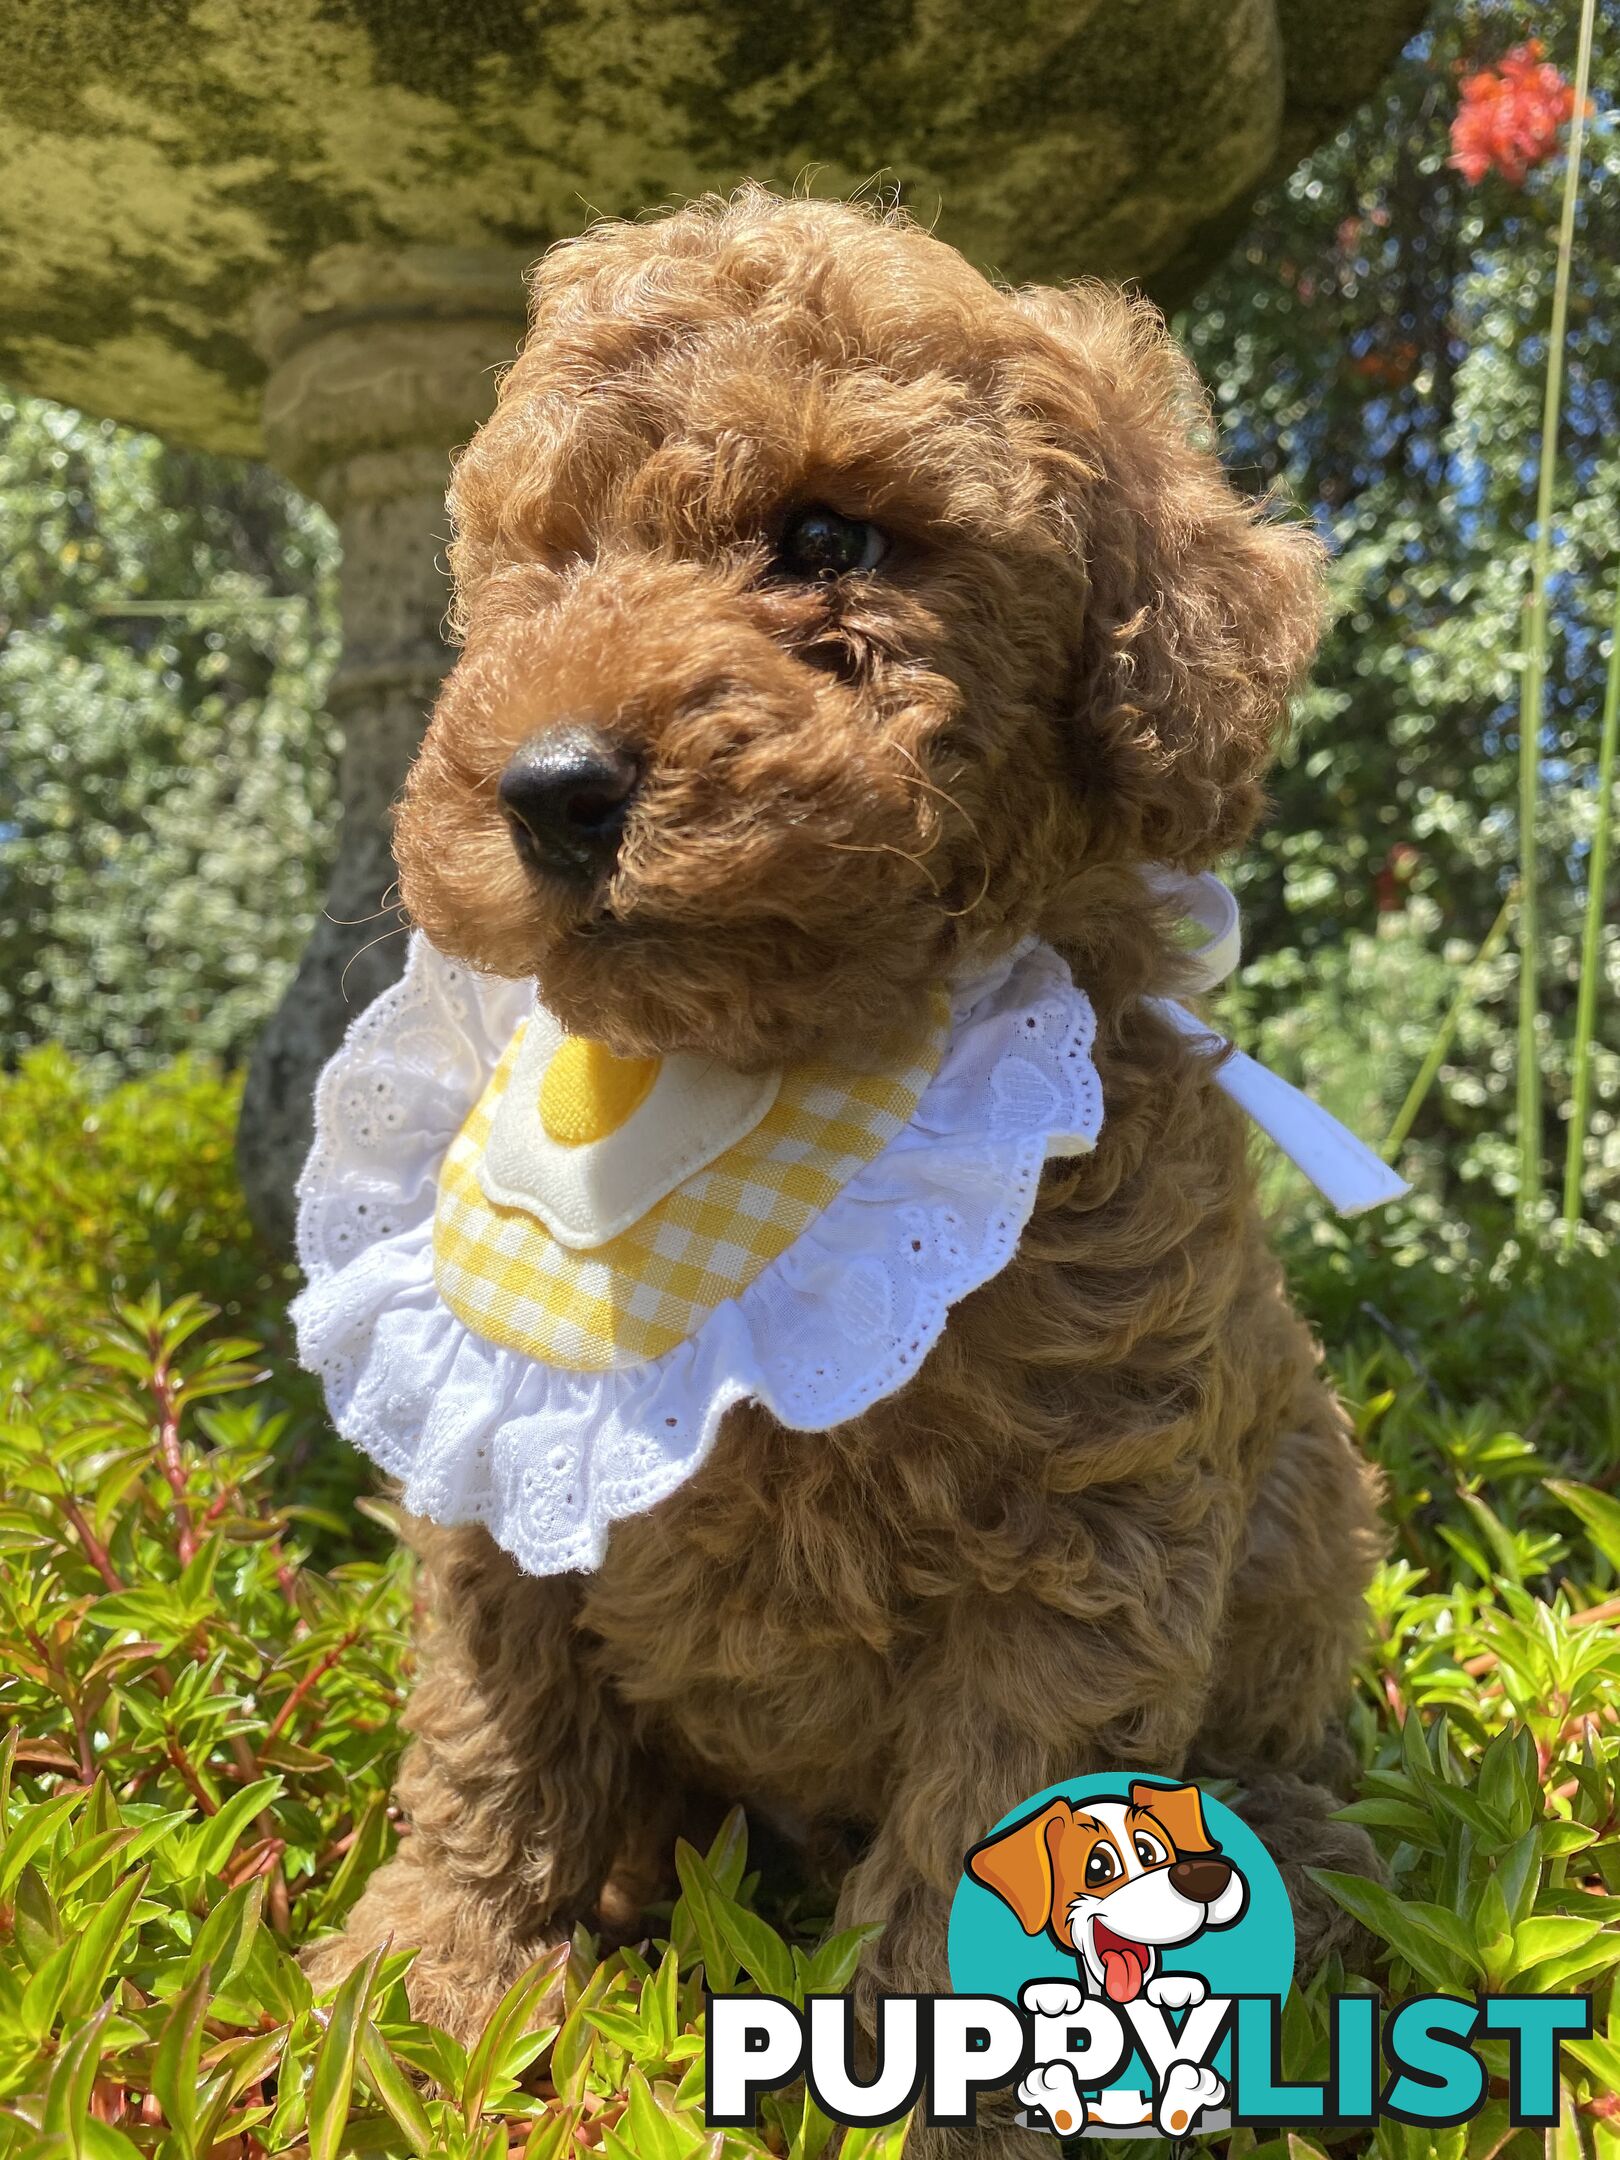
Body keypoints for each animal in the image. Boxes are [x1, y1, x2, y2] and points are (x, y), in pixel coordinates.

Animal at [311, 194, 1391, 2151]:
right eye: (546, 568)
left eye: (828, 538)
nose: (549, 786)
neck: (771, 1065)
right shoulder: (501, 1494)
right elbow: (496, 1746)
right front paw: (427, 2001)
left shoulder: (1080, 1547)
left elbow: (989, 1844)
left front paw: (938, 2098)